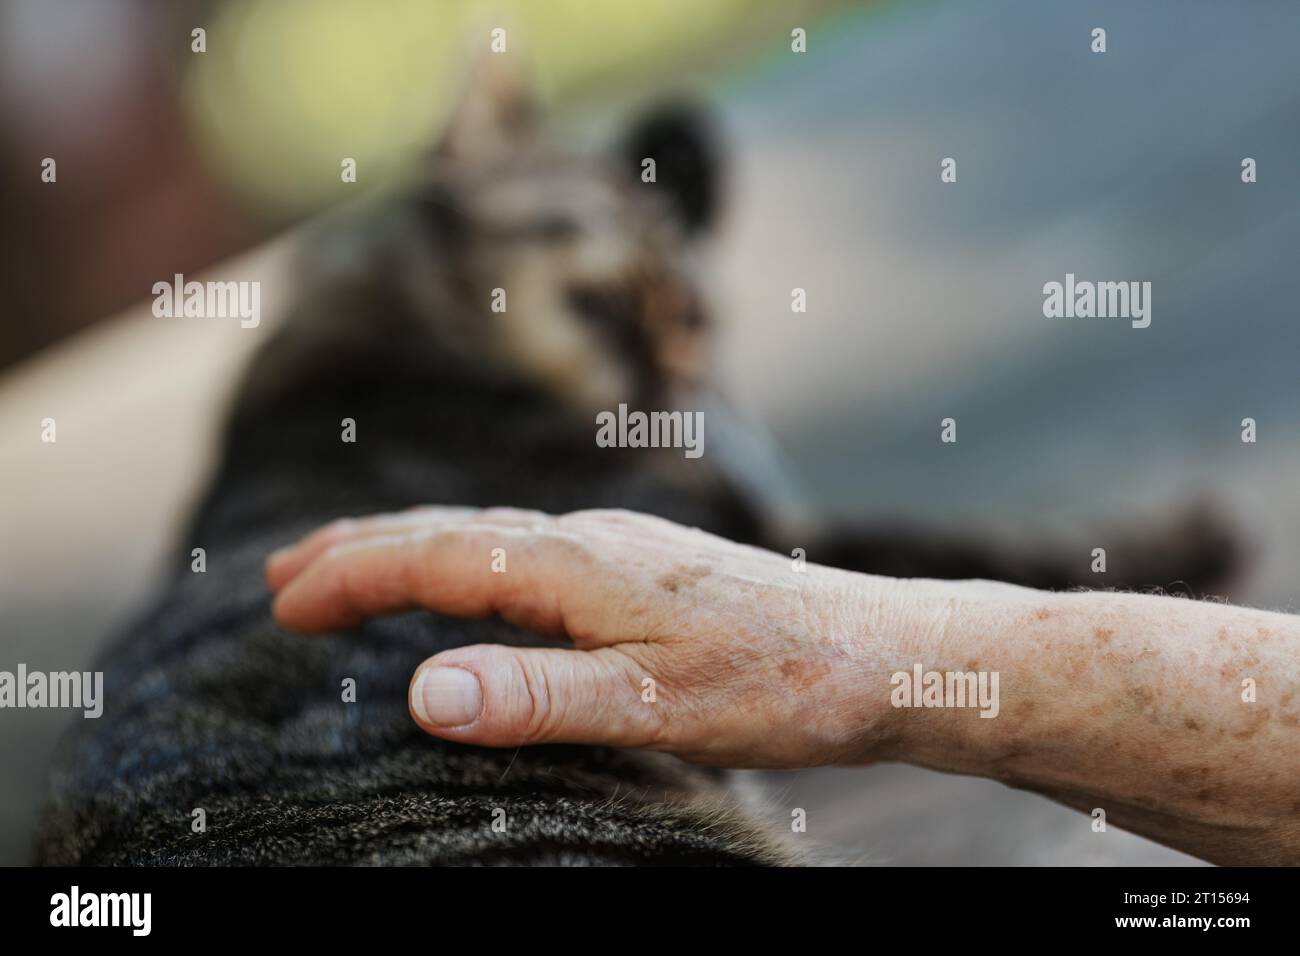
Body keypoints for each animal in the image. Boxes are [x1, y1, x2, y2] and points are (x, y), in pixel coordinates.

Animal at [38, 57, 1237, 868]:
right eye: (633, 239)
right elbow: (963, 555)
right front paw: (1170, 544)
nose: (687, 328)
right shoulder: (755, 522)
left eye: (695, 315)